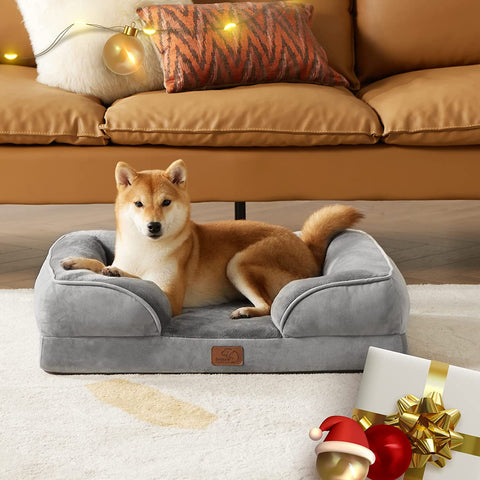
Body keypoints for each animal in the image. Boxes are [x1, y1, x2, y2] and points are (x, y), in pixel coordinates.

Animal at [62, 161, 364, 318]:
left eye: (166, 202)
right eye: (138, 204)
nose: (154, 226)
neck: (145, 250)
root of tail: (307, 249)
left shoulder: (169, 296)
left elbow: (140, 280)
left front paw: (113, 272)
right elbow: (101, 262)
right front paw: (76, 261)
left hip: (239, 262)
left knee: (269, 306)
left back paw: (246, 311)